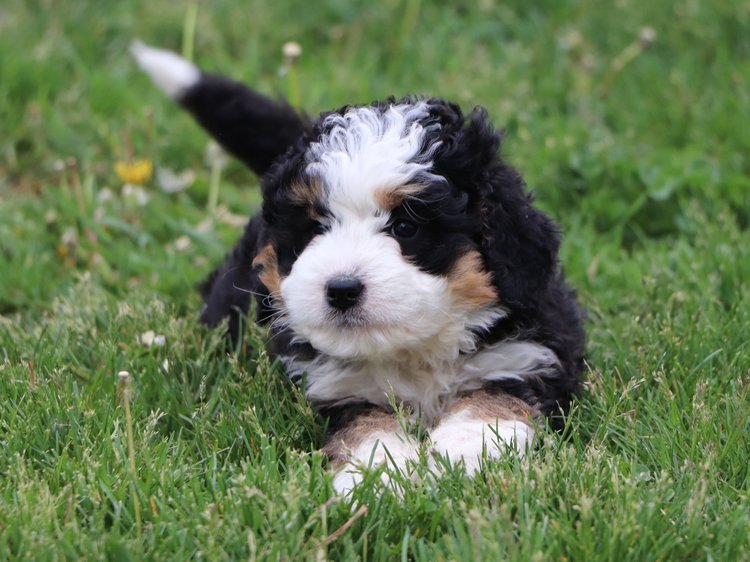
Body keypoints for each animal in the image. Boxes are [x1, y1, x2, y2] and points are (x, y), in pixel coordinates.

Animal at [131, 42, 588, 490]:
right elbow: (368, 426)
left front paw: (461, 454)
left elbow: (494, 403)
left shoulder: (527, 357)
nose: (341, 289)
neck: (412, 355)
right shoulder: (340, 390)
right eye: (316, 226)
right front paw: (380, 474)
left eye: (405, 226)